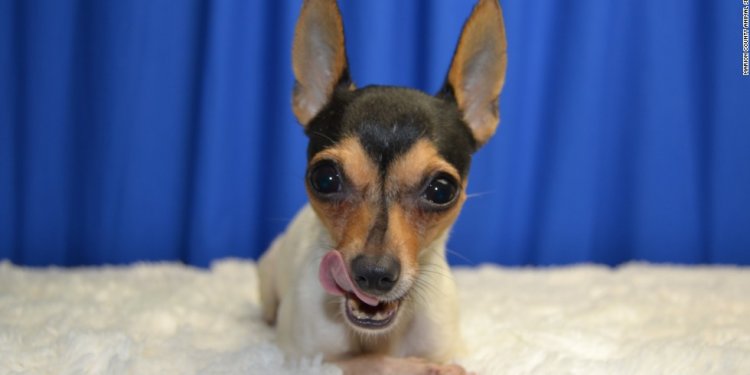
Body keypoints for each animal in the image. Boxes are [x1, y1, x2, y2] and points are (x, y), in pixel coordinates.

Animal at [260, 0, 512, 374]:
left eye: (441, 190)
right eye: (325, 178)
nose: (373, 274)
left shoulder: (445, 345)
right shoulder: (305, 360)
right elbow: (369, 362)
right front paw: (419, 367)